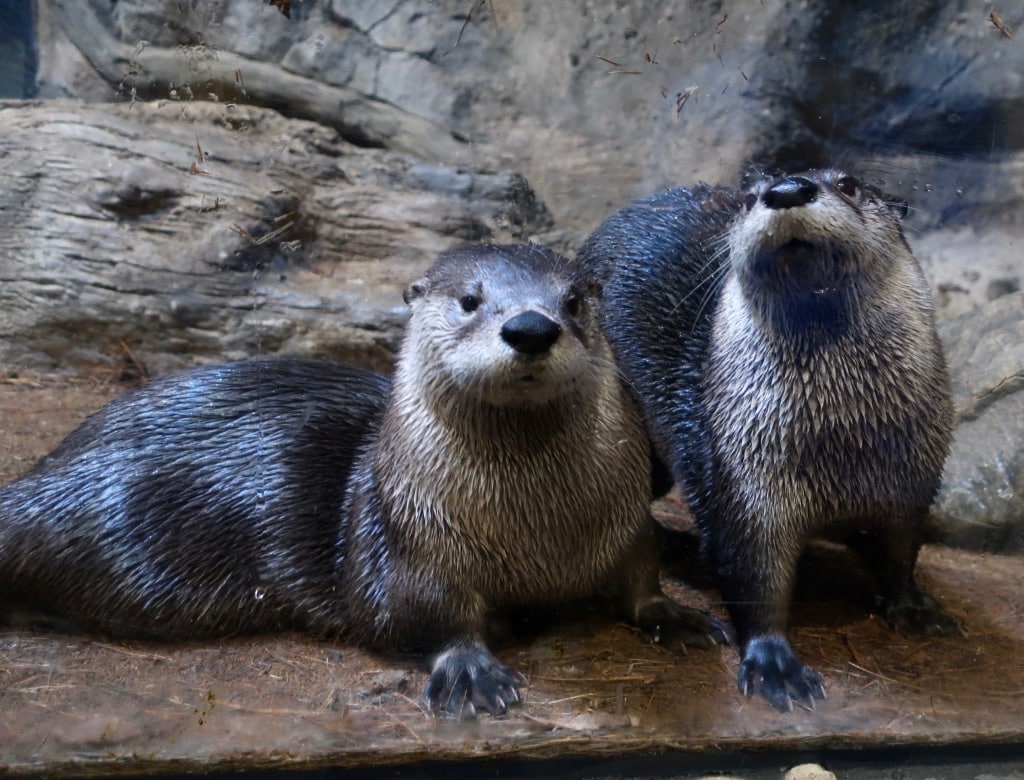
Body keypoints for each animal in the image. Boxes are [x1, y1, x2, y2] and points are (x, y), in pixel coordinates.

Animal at [0, 243, 724, 716]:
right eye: (470, 300)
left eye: (572, 302)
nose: (530, 327)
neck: (538, 538)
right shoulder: (409, 546)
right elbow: (418, 614)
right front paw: (471, 668)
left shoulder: (626, 520)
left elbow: (640, 575)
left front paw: (673, 614)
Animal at [581, 169, 962, 712]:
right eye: (749, 197)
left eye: (848, 183)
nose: (786, 189)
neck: (841, 444)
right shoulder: (744, 482)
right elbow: (754, 574)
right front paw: (774, 663)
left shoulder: (912, 479)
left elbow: (902, 550)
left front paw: (914, 607)